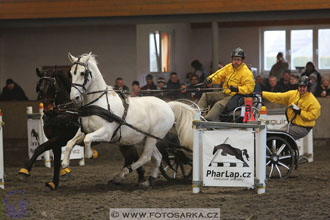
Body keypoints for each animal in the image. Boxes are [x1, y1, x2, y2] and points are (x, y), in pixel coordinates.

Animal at [61, 52, 196, 186]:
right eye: (71, 73)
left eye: (83, 73)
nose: (74, 97)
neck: (98, 102)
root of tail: (168, 105)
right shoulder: (83, 130)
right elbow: (70, 143)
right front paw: (65, 164)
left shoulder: (106, 133)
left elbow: (88, 140)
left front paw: (89, 154)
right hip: (145, 137)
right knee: (157, 157)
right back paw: (149, 180)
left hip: (153, 137)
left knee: (145, 157)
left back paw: (122, 175)